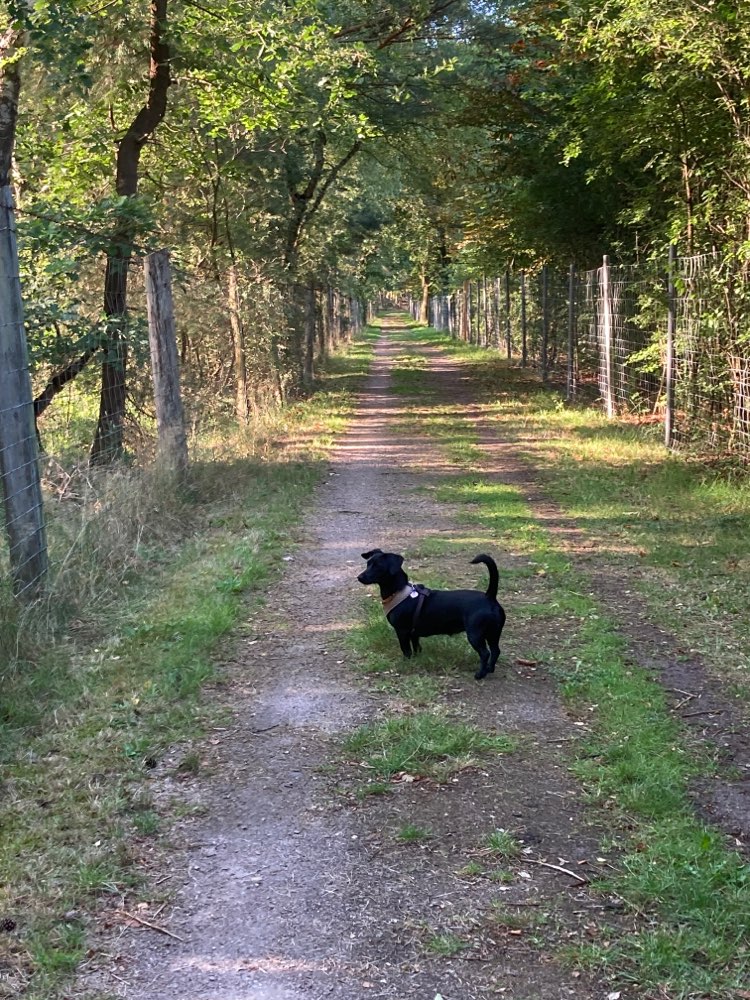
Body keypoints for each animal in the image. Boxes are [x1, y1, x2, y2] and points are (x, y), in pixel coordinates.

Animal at [356, 548, 506, 680]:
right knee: (496, 650)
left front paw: (406, 662)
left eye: (378, 566)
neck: (399, 592)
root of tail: (489, 597)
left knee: (485, 653)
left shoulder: (402, 631)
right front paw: (417, 659)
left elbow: (406, 650)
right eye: (368, 564)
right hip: (493, 633)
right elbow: (416, 647)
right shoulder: (413, 634)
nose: (359, 577)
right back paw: (490, 669)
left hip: (475, 635)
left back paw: (480, 674)